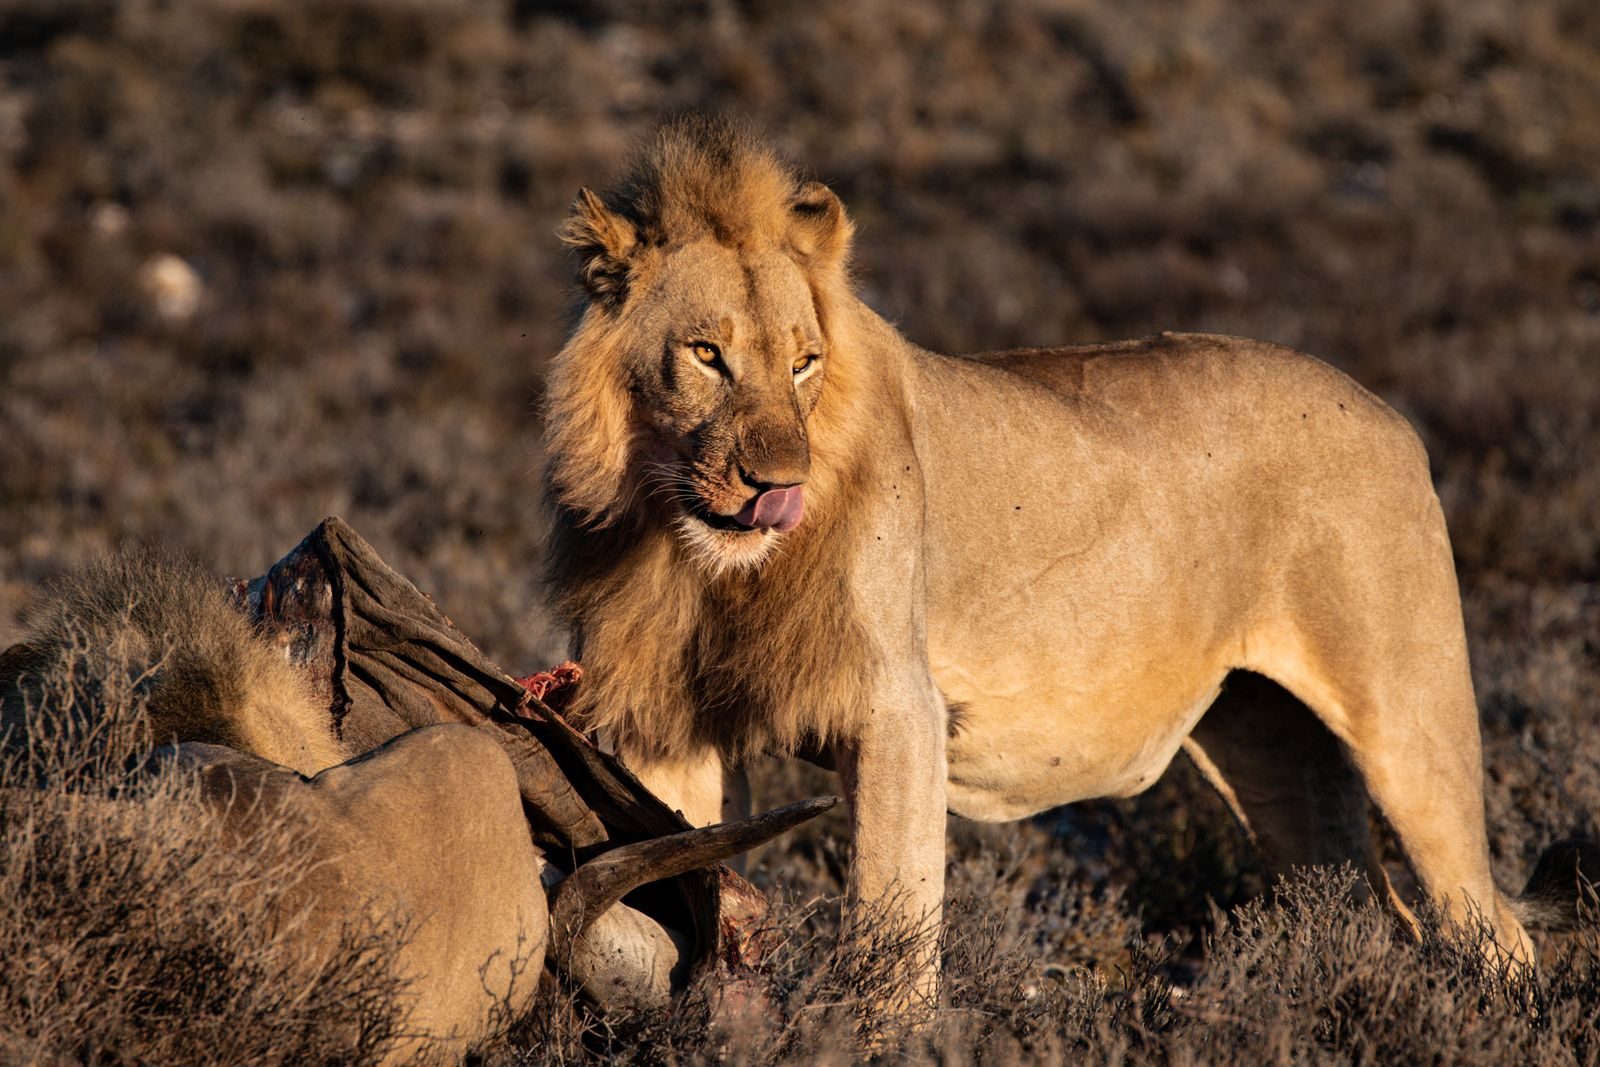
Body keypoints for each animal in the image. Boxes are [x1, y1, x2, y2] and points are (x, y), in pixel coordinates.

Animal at [542, 116, 1592, 1000]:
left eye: (803, 362)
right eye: (706, 355)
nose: (779, 484)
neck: (692, 555)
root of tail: (1394, 418)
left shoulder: (897, 708)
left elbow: (890, 928)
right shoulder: (663, 724)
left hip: (1408, 716)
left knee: (1489, 925)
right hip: (1273, 746)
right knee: (1375, 917)